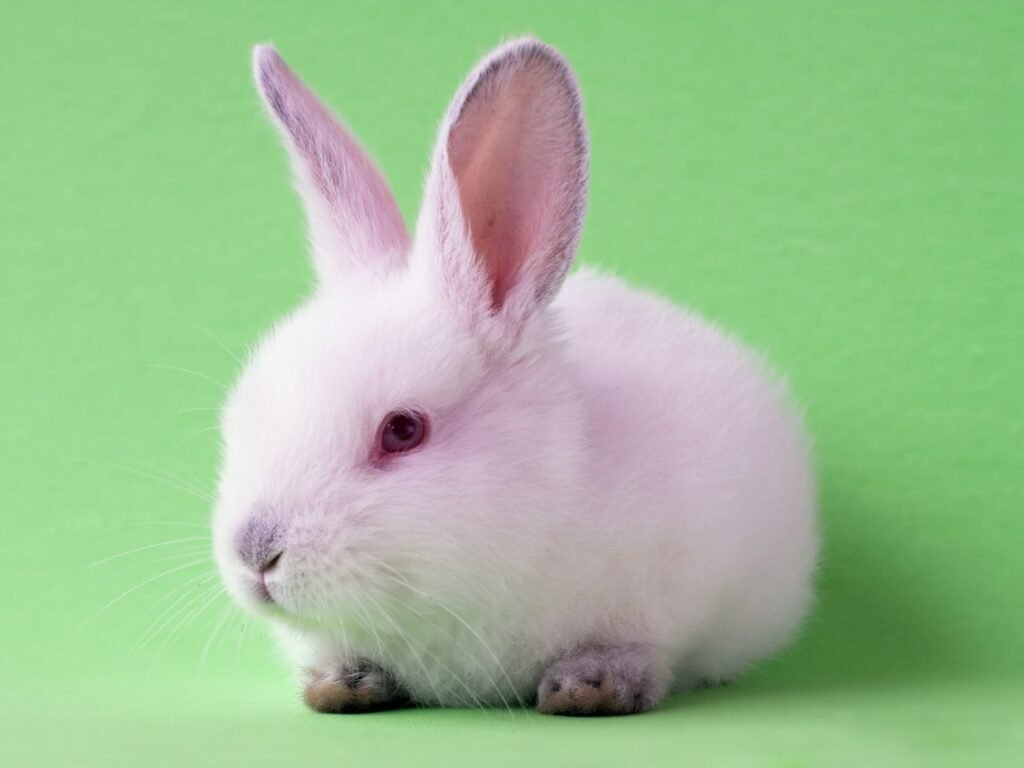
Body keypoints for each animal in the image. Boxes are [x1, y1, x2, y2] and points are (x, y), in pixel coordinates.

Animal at [212, 37, 819, 716]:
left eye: (403, 430)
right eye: (246, 413)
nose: (255, 552)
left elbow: (641, 649)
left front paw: (588, 687)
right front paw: (339, 685)